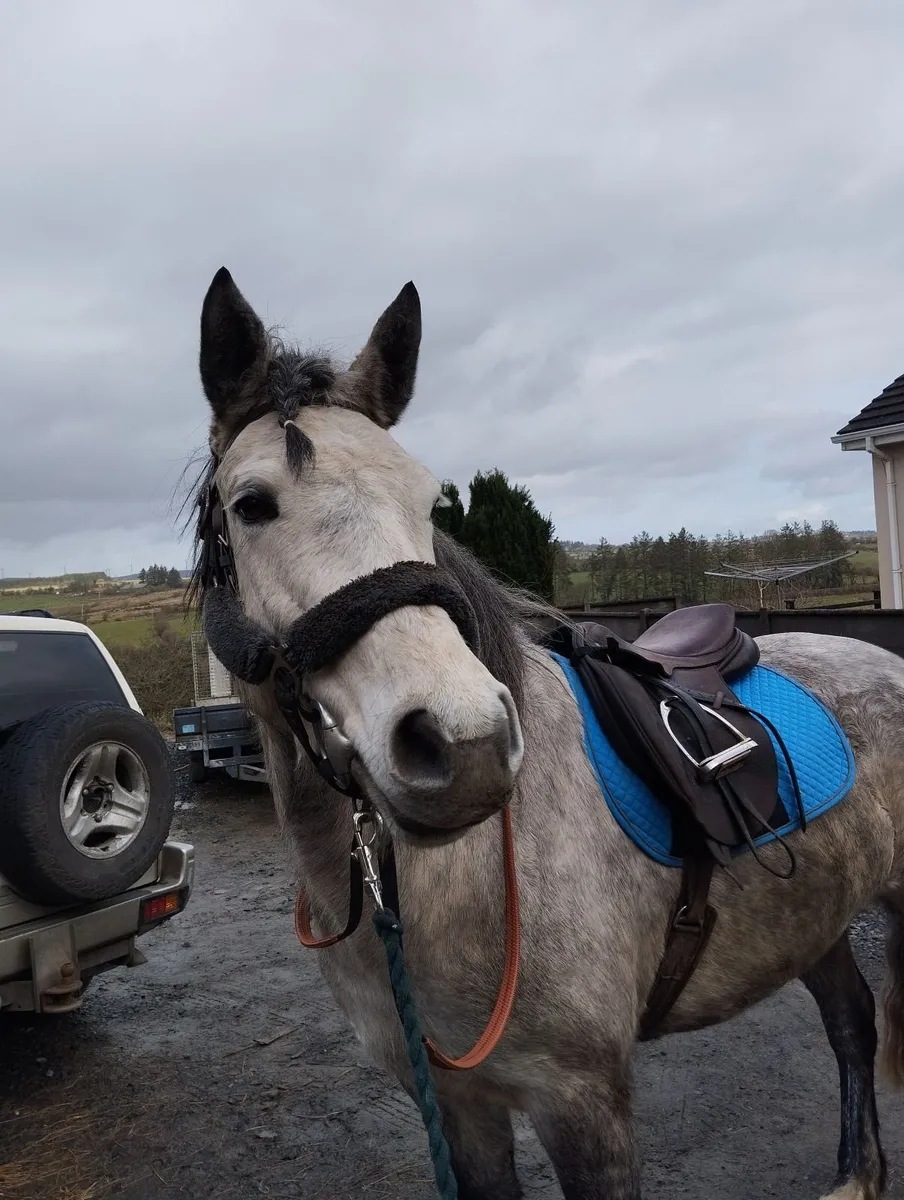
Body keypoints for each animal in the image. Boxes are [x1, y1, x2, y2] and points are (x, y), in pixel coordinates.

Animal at [187, 265, 904, 1200]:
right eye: (252, 504)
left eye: (425, 500)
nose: (464, 745)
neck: (452, 880)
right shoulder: (459, 1107)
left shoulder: (582, 1103)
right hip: (814, 918)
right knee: (853, 1021)